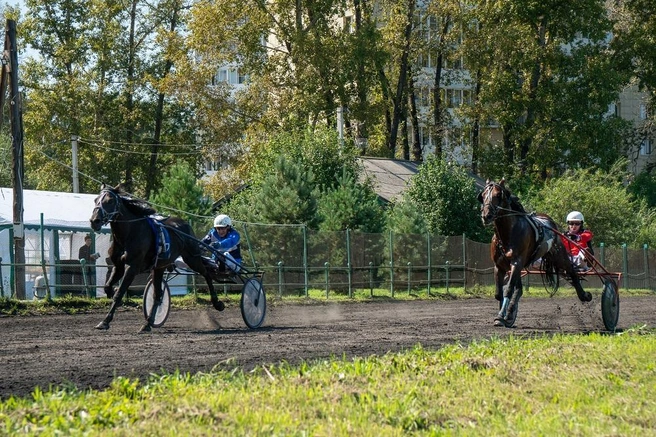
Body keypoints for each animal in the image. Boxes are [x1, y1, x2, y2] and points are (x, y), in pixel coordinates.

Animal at [89, 184, 224, 330]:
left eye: (110, 201)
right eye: (96, 200)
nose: (94, 221)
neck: (128, 234)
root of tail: (184, 223)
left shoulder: (132, 267)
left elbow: (119, 293)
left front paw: (105, 321)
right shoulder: (118, 266)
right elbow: (107, 287)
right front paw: (112, 294)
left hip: (192, 258)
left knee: (206, 274)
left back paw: (217, 303)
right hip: (159, 267)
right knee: (157, 295)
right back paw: (148, 323)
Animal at [480, 179, 592, 326]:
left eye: (498, 195)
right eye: (482, 196)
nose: (486, 216)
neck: (508, 234)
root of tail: (549, 221)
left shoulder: (517, 262)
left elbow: (508, 289)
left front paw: (500, 317)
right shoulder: (499, 266)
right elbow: (499, 293)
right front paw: (505, 315)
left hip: (559, 255)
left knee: (571, 271)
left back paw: (584, 295)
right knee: (519, 289)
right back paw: (510, 313)